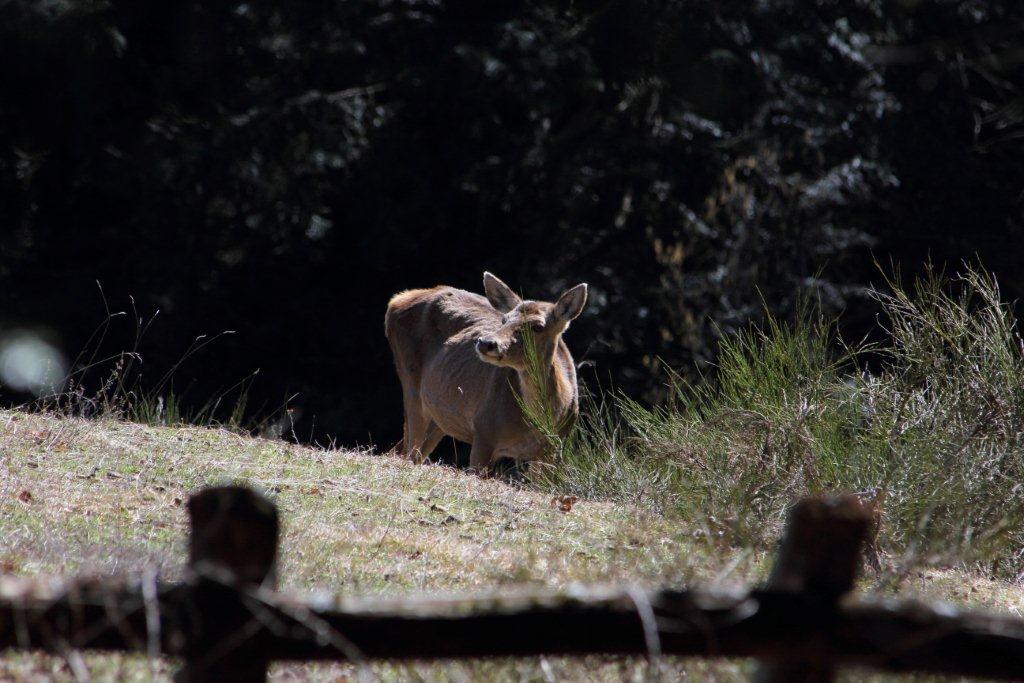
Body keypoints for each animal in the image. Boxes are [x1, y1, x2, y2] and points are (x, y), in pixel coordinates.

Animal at [385, 272, 589, 475]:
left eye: (538, 326)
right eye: (504, 320)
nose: (486, 343)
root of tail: (396, 300)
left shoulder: (554, 448)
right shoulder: (484, 430)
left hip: (440, 414)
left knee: (404, 451)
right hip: (410, 380)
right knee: (409, 450)